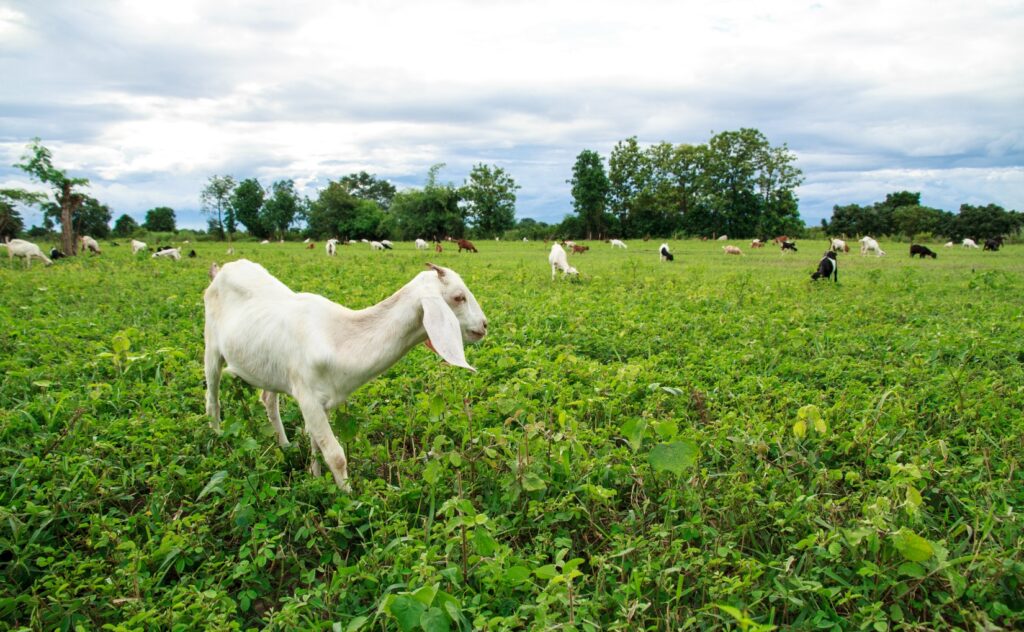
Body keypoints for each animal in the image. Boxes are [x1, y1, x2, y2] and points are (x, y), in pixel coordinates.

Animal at [203, 259, 487, 489]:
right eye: (459, 297)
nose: (484, 325)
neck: (338, 337)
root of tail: (222, 270)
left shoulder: (323, 402)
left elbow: (316, 444)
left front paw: (314, 478)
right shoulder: (307, 398)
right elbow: (335, 455)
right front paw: (349, 500)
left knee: (268, 400)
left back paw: (284, 446)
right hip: (211, 347)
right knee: (212, 399)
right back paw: (218, 439)